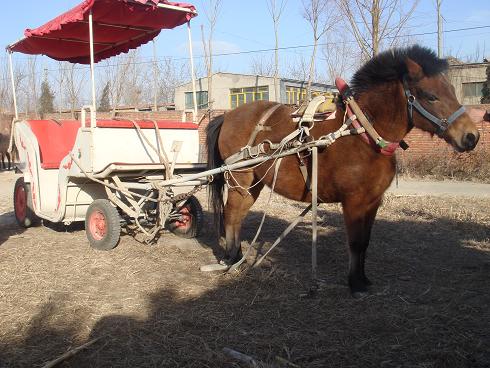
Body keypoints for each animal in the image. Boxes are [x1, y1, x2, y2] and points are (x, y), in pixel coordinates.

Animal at [205, 44, 480, 294]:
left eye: (452, 90)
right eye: (430, 95)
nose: (471, 137)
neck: (364, 134)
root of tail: (228, 115)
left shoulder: (372, 201)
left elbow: (365, 242)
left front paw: (363, 279)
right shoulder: (354, 202)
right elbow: (356, 242)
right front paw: (355, 283)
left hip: (254, 184)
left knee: (238, 216)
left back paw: (237, 258)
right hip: (240, 180)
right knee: (232, 215)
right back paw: (232, 258)